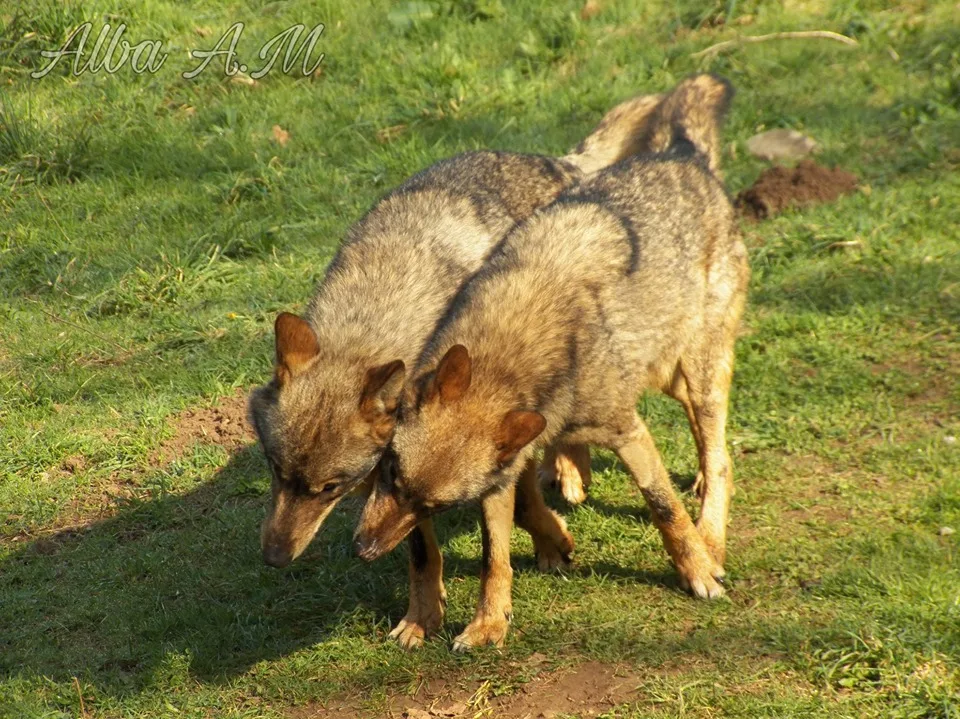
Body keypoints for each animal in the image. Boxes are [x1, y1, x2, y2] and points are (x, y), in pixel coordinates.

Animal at [248, 90, 666, 649]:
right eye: (276, 470)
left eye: (329, 489)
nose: (273, 559)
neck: (376, 313)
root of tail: (556, 161)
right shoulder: (398, 478)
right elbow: (423, 552)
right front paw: (422, 618)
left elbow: (503, 522)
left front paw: (548, 542)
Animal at [354, 74, 748, 650]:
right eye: (389, 474)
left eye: (434, 508)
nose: (362, 549)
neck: (510, 349)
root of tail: (682, 157)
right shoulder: (498, 481)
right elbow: (495, 556)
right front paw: (490, 624)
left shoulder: (628, 432)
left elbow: (662, 506)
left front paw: (696, 571)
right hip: (669, 378)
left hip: (696, 377)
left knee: (719, 459)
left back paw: (711, 541)